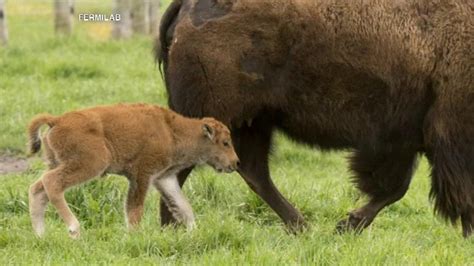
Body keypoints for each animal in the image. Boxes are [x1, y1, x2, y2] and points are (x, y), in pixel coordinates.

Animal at [27, 103, 239, 238]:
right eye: (225, 142)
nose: (235, 163)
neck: (171, 130)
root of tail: (57, 120)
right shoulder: (141, 175)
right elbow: (134, 209)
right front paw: (134, 236)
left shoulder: (164, 178)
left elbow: (184, 207)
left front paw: (194, 232)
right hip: (90, 164)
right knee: (52, 183)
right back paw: (74, 229)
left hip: (58, 163)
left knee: (38, 189)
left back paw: (40, 235)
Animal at [155, 0, 470, 237]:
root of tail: (186, 6)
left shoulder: (404, 139)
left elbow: (394, 188)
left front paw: (346, 225)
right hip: (222, 117)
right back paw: (174, 228)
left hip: (253, 121)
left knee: (253, 171)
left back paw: (300, 226)